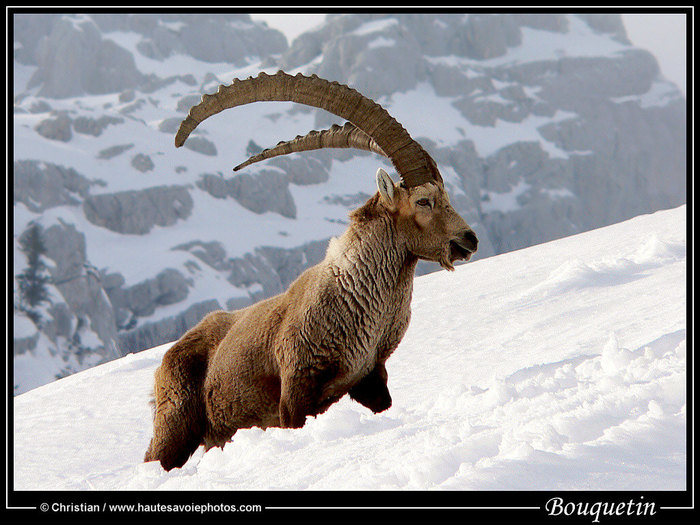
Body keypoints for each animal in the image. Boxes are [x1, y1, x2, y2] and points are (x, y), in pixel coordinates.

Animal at [144, 71, 478, 471]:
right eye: (424, 201)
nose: (469, 239)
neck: (354, 293)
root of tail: (166, 359)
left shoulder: (370, 377)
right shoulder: (294, 393)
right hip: (175, 424)